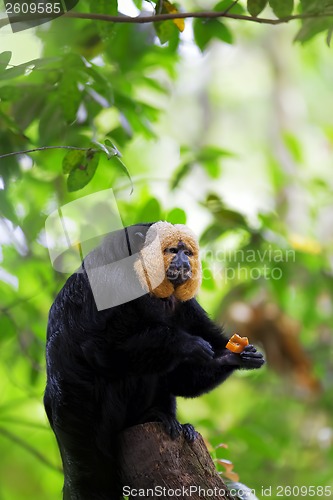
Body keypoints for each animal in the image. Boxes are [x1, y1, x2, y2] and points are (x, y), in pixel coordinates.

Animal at [44, 223, 264, 500]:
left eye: (186, 252)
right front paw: (185, 344)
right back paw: (146, 418)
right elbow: (99, 347)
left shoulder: (186, 306)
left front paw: (232, 357)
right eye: (172, 251)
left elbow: (179, 380)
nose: (184, 262)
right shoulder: (113, 282)